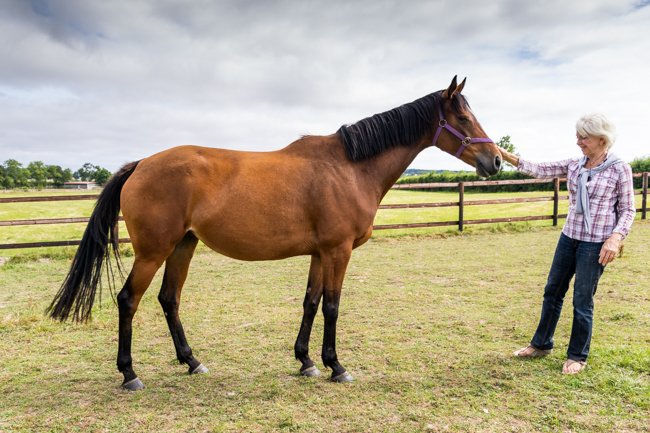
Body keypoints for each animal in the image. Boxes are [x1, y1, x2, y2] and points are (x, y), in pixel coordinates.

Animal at [48, 76, 502, 390]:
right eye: (463, 117)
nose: (496, 161)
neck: (350, 168)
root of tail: (141, 164)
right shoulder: (338, 251)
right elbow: (332, 306)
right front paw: (336, 366)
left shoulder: (320, 253)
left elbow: (311, 303)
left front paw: (306, 361)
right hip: (152, 251)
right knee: (129, 300)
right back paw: (130, 374)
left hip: (182, 246)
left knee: (168, 300)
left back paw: (192, 361)